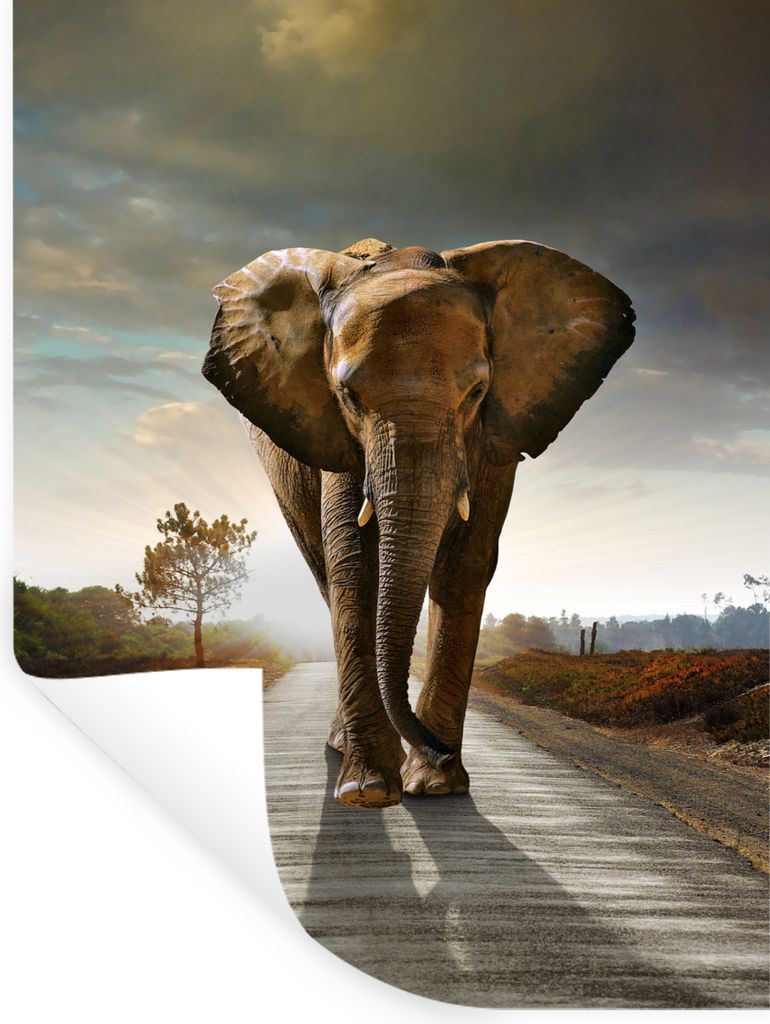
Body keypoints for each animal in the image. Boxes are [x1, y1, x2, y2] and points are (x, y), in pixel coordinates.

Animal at [202, 236, 634, 809]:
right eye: (349, 396)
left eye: (477, 392)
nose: (438, 749)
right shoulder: (337, 439)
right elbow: (354, 565)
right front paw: (368, 791)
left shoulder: (494, 437)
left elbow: (466, 564)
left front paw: (435, 785)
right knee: (324, 573)